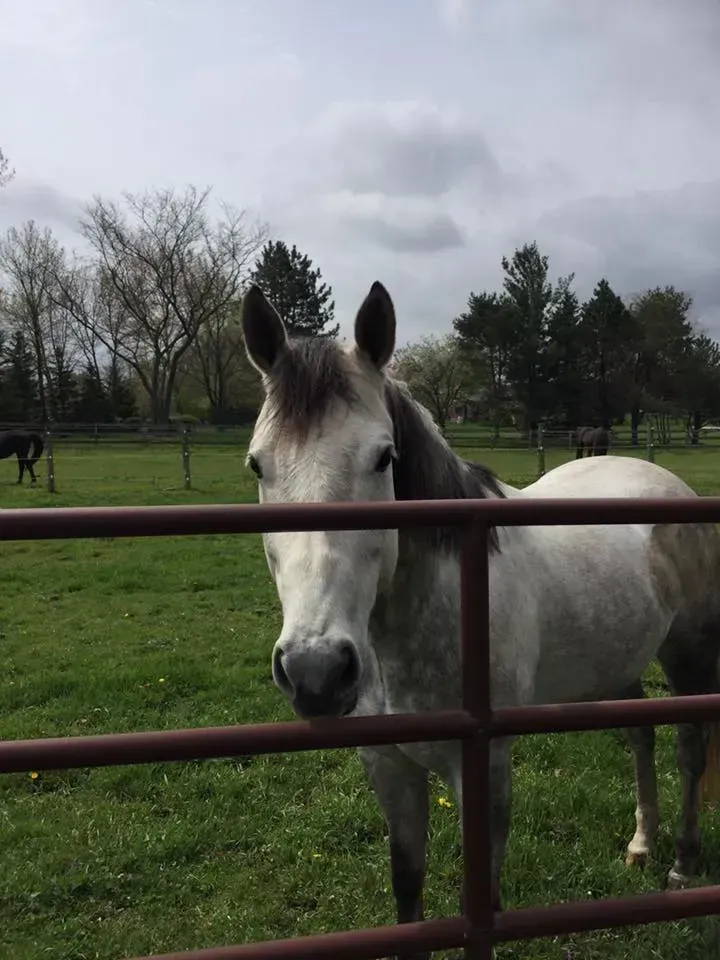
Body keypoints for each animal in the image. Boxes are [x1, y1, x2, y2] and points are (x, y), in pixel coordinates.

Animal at [240, 281, 720, 960]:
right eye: (258, 465)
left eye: (384, 458)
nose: (316, 670)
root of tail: (660, 477)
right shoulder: (389, 769)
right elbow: (408, 891)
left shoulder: (482, 768)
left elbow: (483, 898)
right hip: (616, 666)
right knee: (640, 736)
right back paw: (641, 845)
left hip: (689, 654)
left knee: (689, 746)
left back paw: (681, 862)